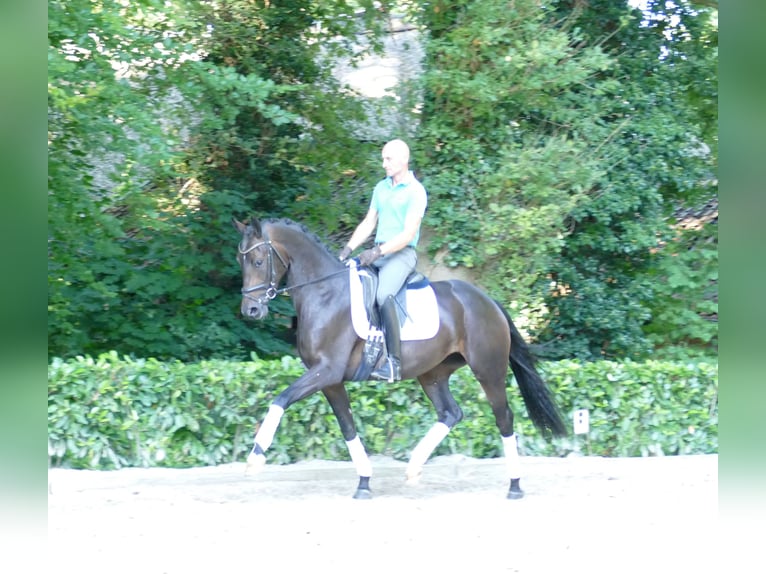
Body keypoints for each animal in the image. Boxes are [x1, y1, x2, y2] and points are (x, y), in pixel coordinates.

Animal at [231, 217, 568, 500]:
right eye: (240, 260)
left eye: (258, 261)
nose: (251, 310)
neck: (324, 293)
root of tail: (487, 300)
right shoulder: (329, 380)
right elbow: (347, 427)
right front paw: (364, 482)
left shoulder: (326, 371)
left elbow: (280, 399)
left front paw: (255, 458)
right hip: (433, 373)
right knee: (451, 413)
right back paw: (414, 467)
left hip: (488, 370)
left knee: (504, 418)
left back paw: (515, 485)